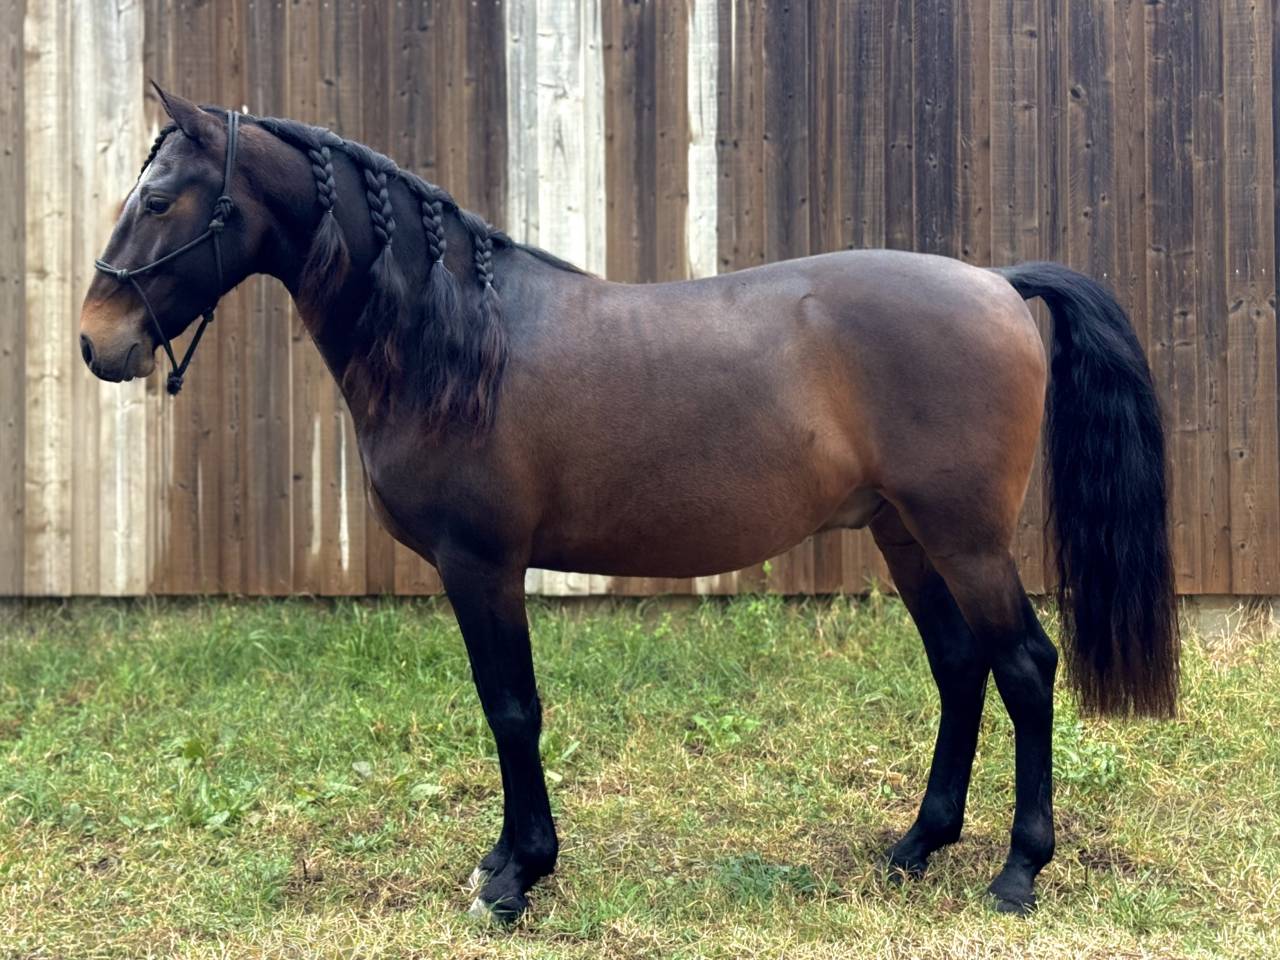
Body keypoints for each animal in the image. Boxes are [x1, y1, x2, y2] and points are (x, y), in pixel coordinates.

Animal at [80, 88, 1179, 923]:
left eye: (164, 199)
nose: (98, 340)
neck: (459, 341)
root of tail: (995, 282)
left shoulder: (483, 564)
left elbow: (511, 709)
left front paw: (517, 877)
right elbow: (506, 710)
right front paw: (505, 861)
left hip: (964, 538)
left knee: (1023, 667)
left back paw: (1017, 870)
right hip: (905, 535)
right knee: (959, 667)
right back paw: (917, 845)